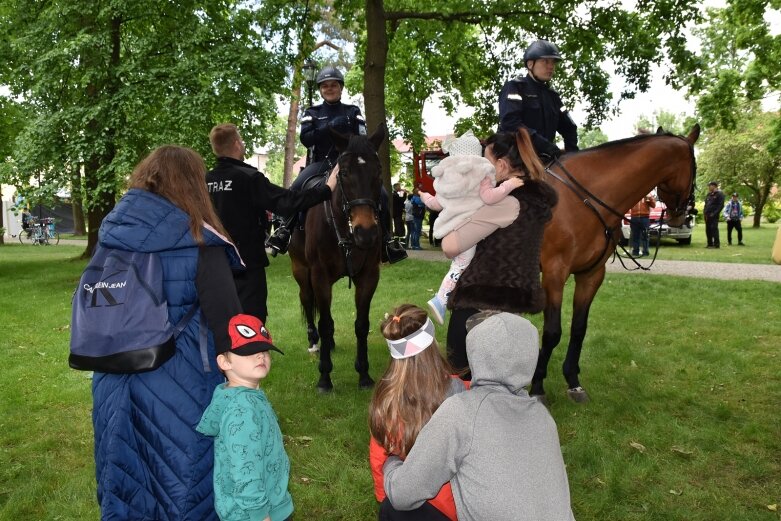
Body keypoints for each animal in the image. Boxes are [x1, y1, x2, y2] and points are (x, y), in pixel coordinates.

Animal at [288, 123, 386, 390]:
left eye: (378, 172)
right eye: (344, 174)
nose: (366, 232)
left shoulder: (369, 276)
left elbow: (362, 325)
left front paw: (364, 374)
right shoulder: (319, 275)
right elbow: (324, 323)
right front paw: (324, 377)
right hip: (300, 270)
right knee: (307, 301)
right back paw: (314, 341)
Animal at [532, 125, 696, 402]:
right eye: (695, 169)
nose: (683, 215)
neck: (581, 201)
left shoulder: (591, 274)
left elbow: (579, 328)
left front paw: (573, 380)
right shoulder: (555, 272)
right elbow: (552, 331)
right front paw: (536, 385)